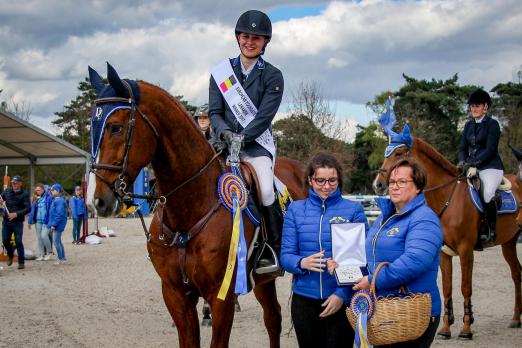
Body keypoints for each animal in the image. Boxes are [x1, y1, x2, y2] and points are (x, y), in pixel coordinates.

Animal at [87, 64, 302, 346]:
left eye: (115, 128)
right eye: (92, 127)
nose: (98, 201)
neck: (189, 209)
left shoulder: (222, 297)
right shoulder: (176, 294)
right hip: (263, 281)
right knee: (273, 318)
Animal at [372, 135, 516, 338]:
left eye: (399, 153)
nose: (378, 184)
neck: (448, 197)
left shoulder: (466, 250)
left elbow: (465, 287)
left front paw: (466, 328)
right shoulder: (443, 253)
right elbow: (447, 288)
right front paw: (446, 328)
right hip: (509, 243)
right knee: (517, 274)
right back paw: (516, 319)